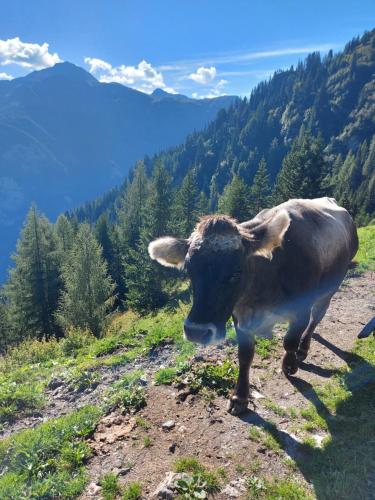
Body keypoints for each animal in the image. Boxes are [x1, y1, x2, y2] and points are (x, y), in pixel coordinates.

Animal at [148, 198, 360, 414]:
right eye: (189, 271)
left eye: (236, 271)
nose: (196, 332)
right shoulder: (239, 316)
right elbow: (245, 356)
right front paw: (240, 397)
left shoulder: (301, 308)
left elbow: (289, 342)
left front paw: (289, 365)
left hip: (331, 286)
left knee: (316, 317)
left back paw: (303, 349)